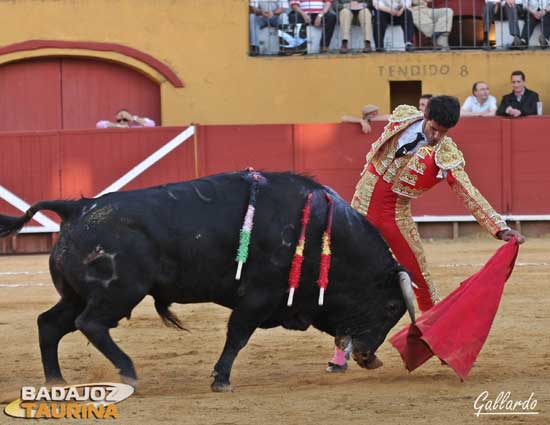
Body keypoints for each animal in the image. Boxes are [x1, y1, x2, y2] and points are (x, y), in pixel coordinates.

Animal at [0, 171, 414, 390]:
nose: (369, 357)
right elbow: (237, 336)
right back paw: (128, 371)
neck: (324, 237)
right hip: (118, 292)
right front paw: (221, 379)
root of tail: (78, 207)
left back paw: (56, 380)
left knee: (50, 323)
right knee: (89, 323)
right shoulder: (257, 297)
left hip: (76, 294)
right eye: (391, 307)